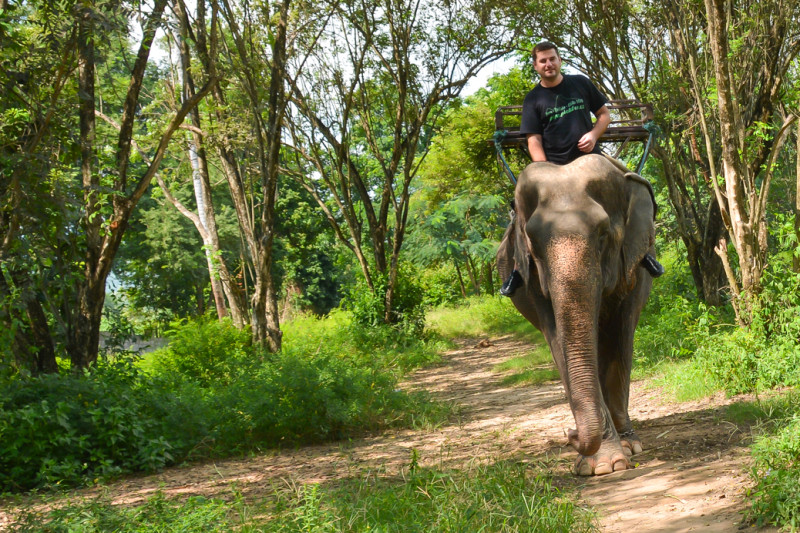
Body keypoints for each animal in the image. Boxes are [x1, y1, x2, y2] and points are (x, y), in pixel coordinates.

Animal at [496, 153, 660, 474]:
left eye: (603, 235)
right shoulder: (533, 280)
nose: (570, 435)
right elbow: (559, 342)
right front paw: (602, 465)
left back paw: (629, 440)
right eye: (533, 243)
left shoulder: (633, 267)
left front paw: (623, 453)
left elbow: (621, 338)